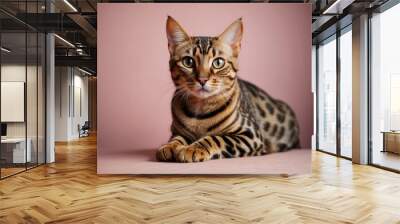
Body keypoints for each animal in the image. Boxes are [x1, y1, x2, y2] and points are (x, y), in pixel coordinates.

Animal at [156, 16, 300, 163]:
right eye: (188, 62)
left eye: (218, 62)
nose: (202, 79)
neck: (199, 111)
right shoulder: (177, 131)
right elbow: (177, 138)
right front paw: (169, 146)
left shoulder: (251, 135)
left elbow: (216, 138)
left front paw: (193, 148)